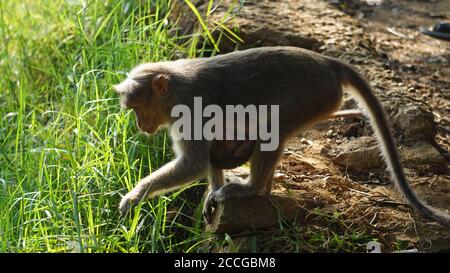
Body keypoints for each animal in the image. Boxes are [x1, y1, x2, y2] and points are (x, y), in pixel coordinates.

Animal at [113, 46, 450, 225]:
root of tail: (327, 63)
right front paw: (213, 191)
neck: (174, 88)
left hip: (316, 96)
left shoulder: (189, 110)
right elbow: (209, 158)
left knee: (274, 127)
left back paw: (254, 189)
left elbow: (194, 163)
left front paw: (135, 195)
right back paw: (260, 187)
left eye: (137, 108)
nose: (140, 125)